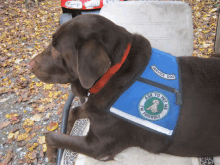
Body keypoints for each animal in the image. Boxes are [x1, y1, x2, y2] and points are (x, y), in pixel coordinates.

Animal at [27, 14, 220, 164]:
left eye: (56, 49)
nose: (29, 64)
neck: (114, 73)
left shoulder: (98, 146)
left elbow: (52, 135)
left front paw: (51, 151)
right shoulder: (95, 108)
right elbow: (73, 112)